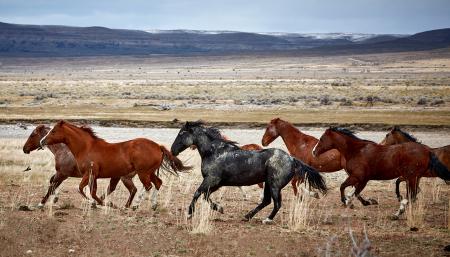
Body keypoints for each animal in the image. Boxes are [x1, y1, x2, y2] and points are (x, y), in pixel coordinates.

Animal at [39, 119, 192, 207]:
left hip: (143, 172)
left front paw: (99, 203)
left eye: (53, 131)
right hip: (150, 172)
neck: (86, 148)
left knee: (147, 186)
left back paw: (135, 205)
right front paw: (100, 203)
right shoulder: (93, 176)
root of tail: (158, 146)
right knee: (158, 183)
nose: (42, 141)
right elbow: (92, 191)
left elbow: (82, 189)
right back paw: (152, 205)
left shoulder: (89, 173)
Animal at [170, 121, 326, 223]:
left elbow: (197, 193)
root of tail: (292, 159)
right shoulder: (216, 183)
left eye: (181, 133)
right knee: (266, 201)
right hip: (268, 184)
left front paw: (190, 214)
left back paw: (267, 219)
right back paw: (247, 216)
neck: (214, 152)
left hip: (274, 185)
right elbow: (205, 195)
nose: (172, 150)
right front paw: (220, 208)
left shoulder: (211, 180)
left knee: (276, 203)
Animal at [312, 127, 450, 217]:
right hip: (414, 177)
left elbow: (346, 189)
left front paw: (350, 202)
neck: (356, 151)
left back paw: (398, 212)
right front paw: (362, 202)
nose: (313, 152)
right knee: (413, 194)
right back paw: (400, 210)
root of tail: (427, 150)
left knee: (411, 195)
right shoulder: (360, 179)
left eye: (322, 139)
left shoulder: (359, 177)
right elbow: (354, 191)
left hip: (412, 177)